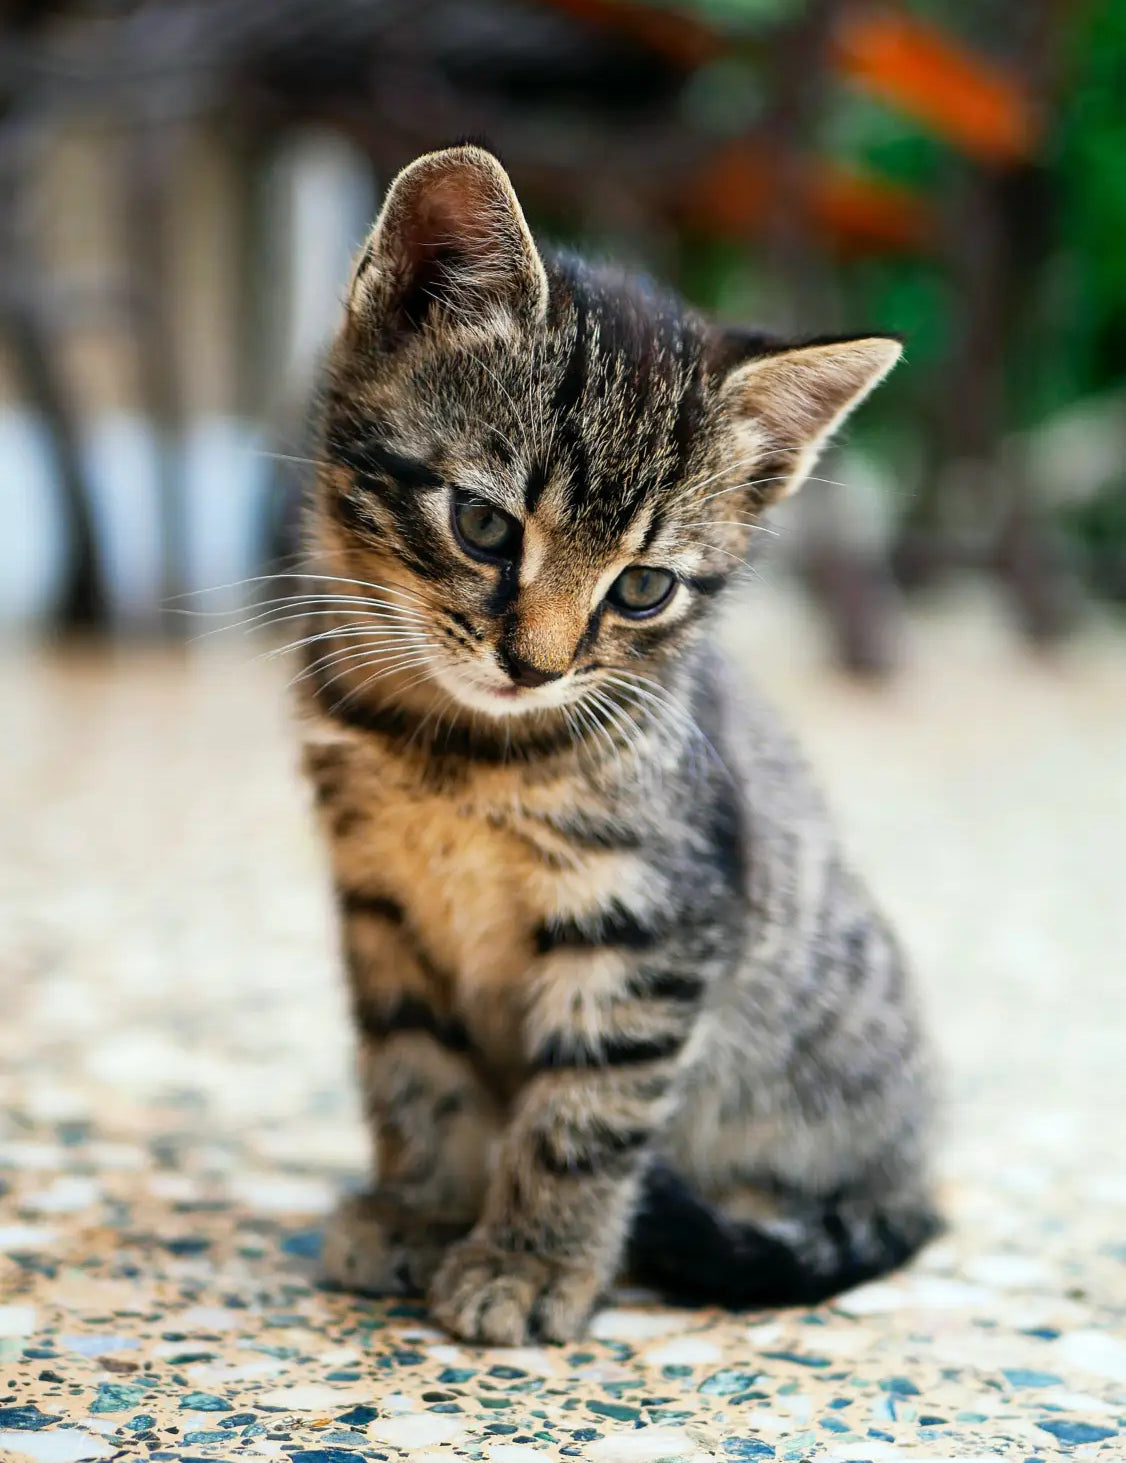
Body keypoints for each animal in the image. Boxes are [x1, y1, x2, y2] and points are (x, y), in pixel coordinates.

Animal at [293, 142, 935, 1340]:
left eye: (642, 589)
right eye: (484, 526)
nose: (534, 666)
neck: (457, 749)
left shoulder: (653, 917)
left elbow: (586, 1107)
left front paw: (531, 1260)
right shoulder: (381, 900)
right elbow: (413, 1068)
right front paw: (422, 1206)